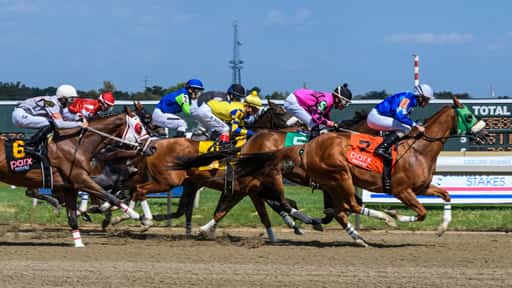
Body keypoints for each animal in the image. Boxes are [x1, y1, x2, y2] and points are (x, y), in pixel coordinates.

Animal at [0, 111, 148, 248]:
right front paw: (140, 217)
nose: (150, 147)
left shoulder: (69, 186)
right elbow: (110, 197)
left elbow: (72, 217)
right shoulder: (81, 179)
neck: (76, 144)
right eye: (139, 127)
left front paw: (79, 243)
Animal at [234, 97, 486, 245]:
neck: (418, 149)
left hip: (332, 180)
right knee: (280, 201)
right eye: (469, 115)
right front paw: (394, 216)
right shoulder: (401, 190)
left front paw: (442, 228)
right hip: (333, 177)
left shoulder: (422, 187)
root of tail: (252, 139)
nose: (484, 133)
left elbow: (446, 195)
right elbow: (421, 212)